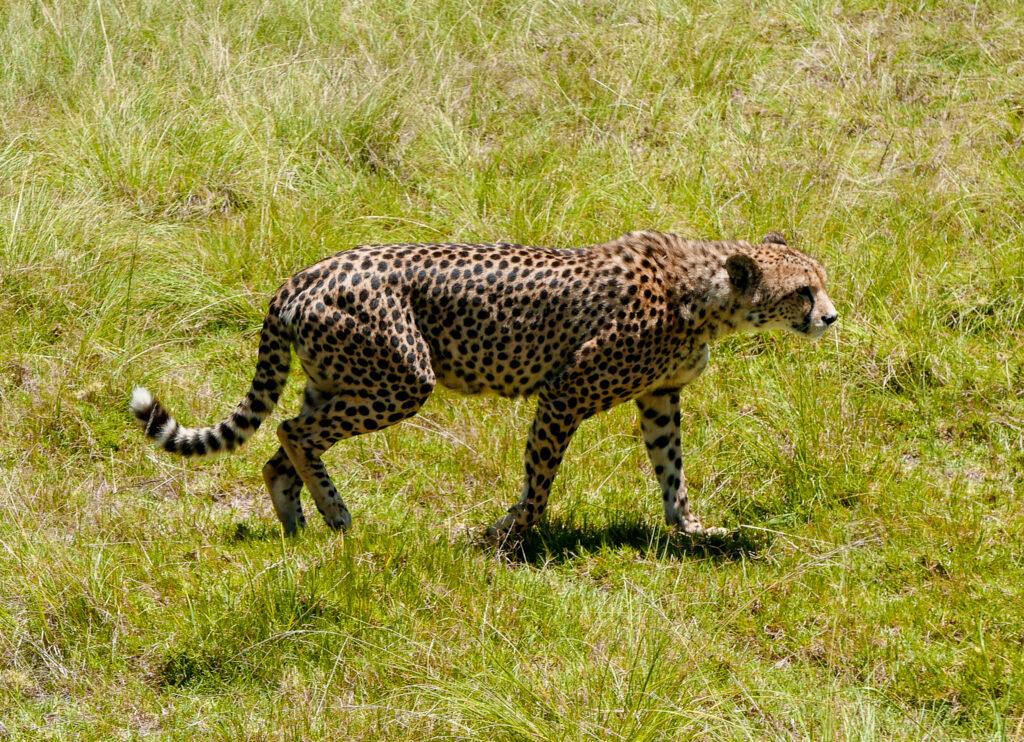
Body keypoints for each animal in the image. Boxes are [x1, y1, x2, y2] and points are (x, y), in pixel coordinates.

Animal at [130, 230, 837, 543]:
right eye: (803, 290)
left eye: (821, 281)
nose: (831, 317)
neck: (707, 293)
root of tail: (302, 276)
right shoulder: (564, 393)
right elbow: (540, 475)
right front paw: (515, 535)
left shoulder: (660, 397)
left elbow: (672, 468)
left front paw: (689, 528)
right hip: (401, 379)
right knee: (292, 430)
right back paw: (337, 514)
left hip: (339, 378)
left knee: (281, 447)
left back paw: (302, 522)